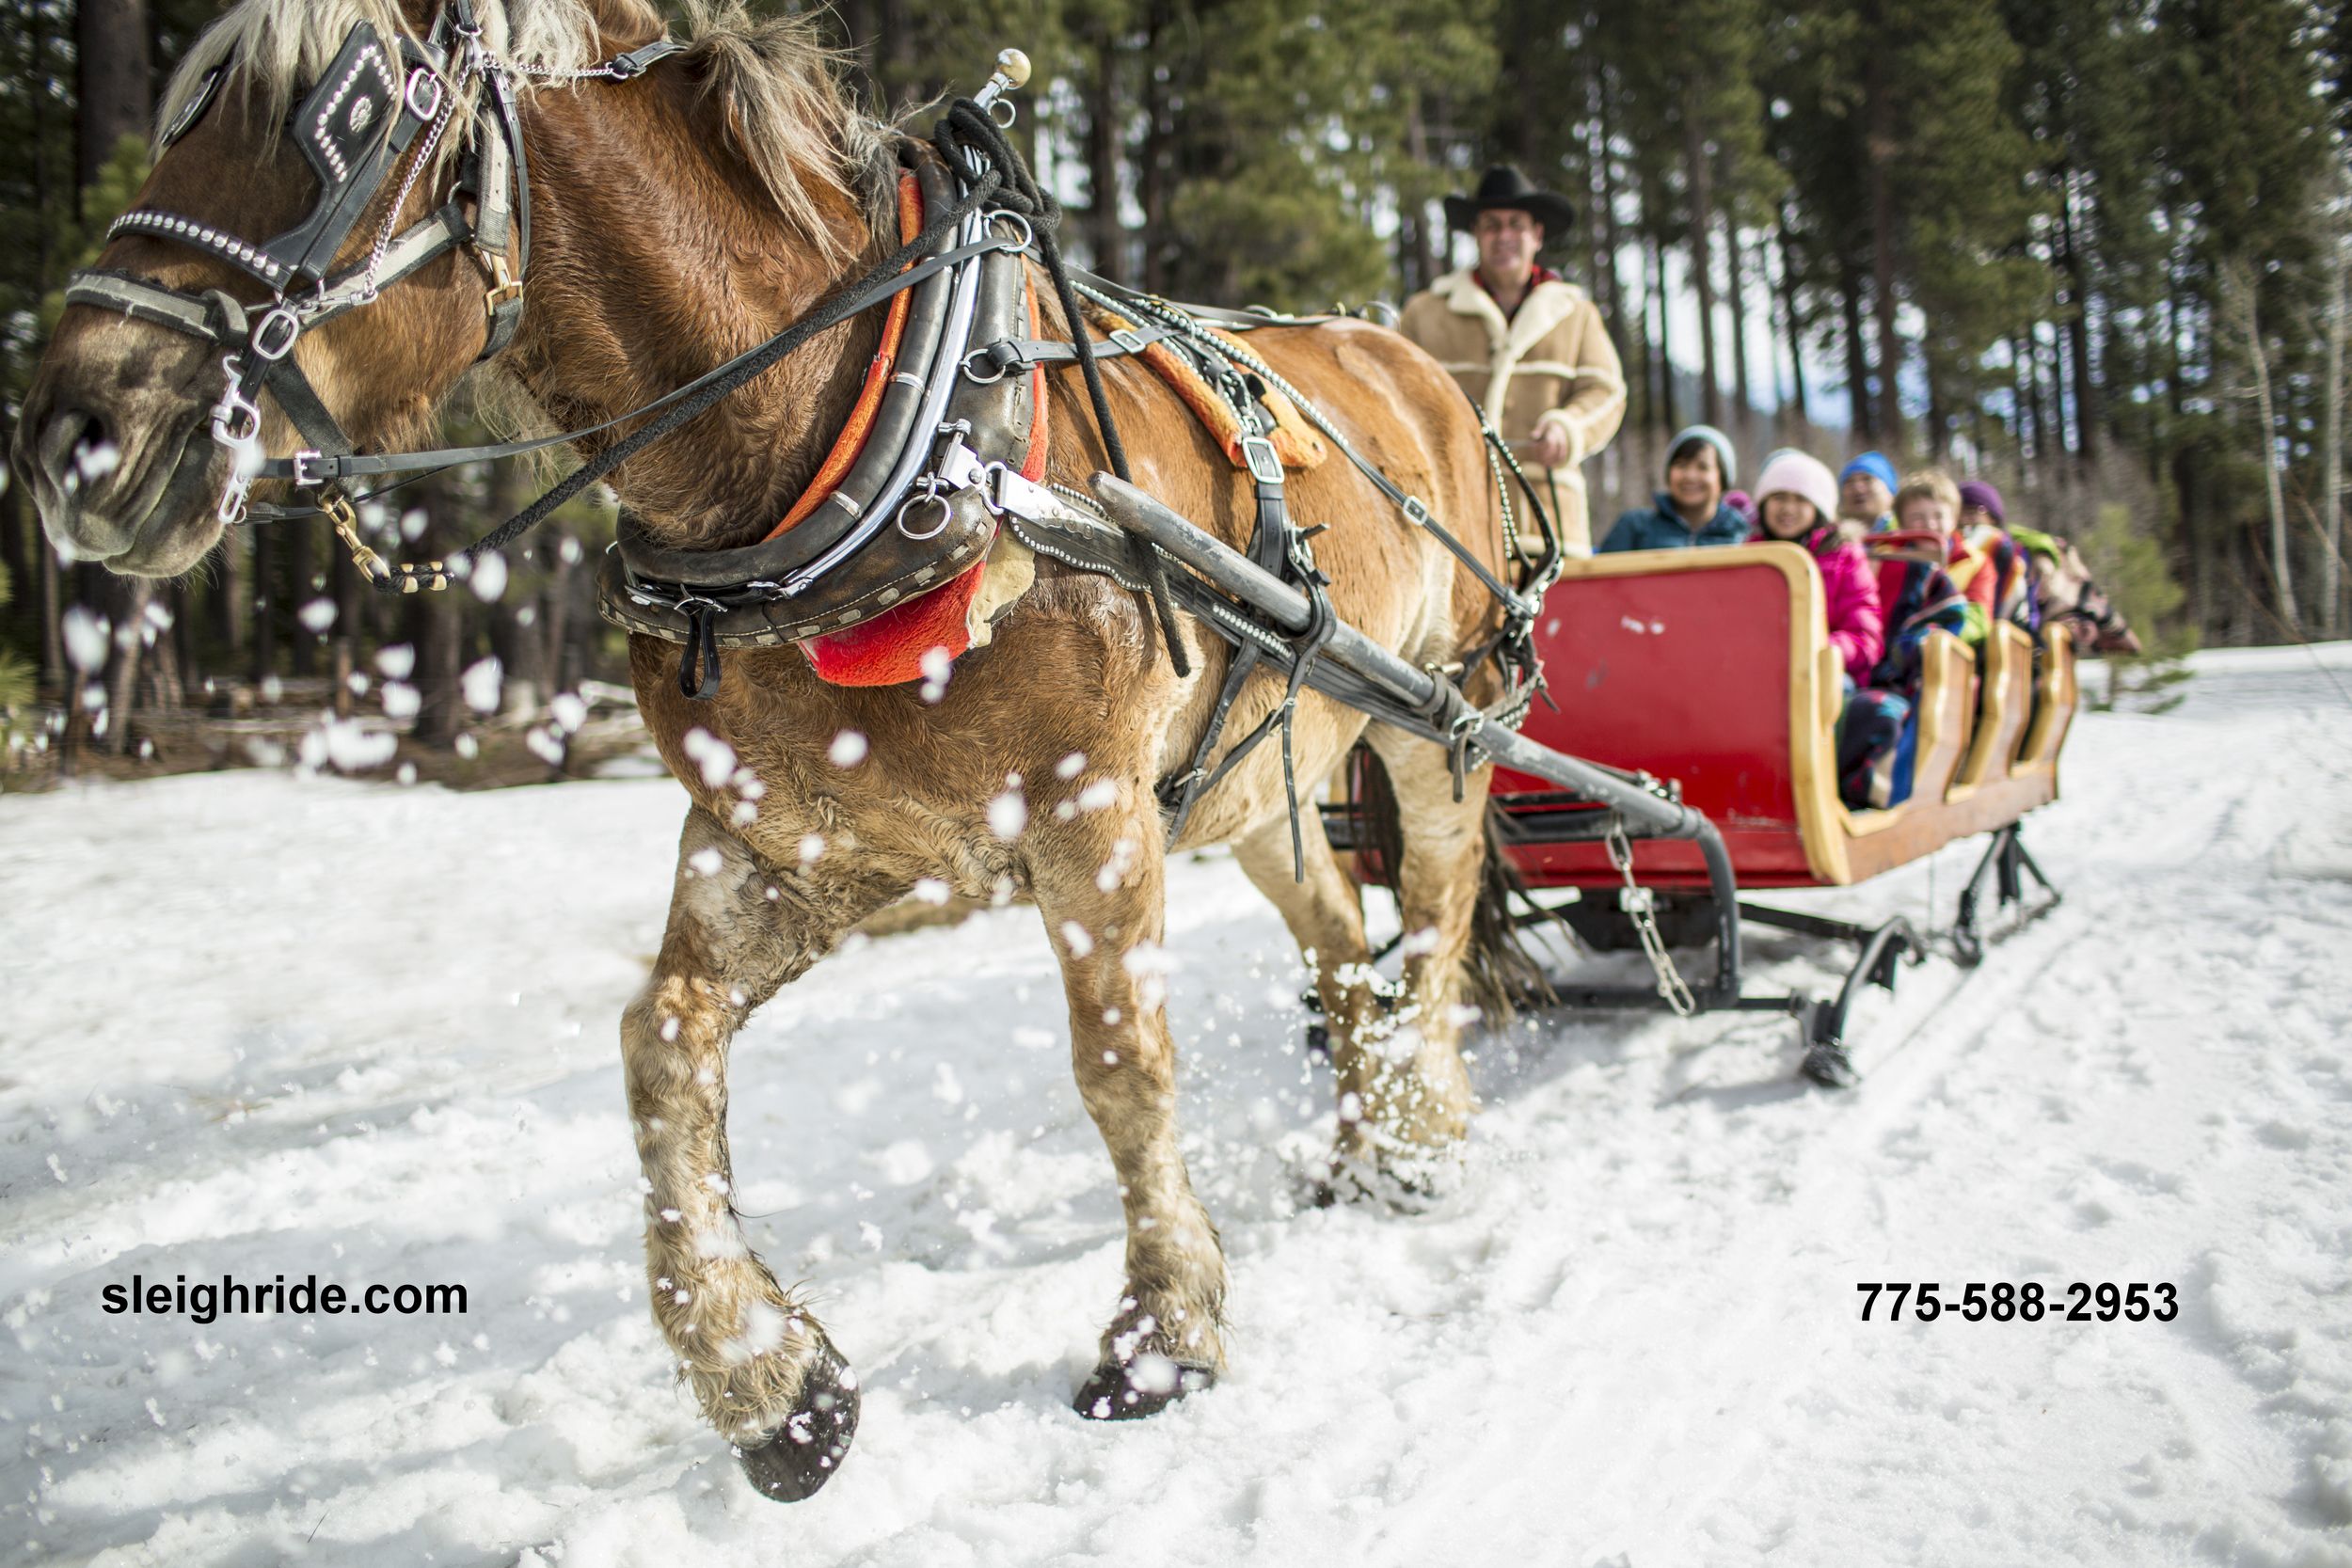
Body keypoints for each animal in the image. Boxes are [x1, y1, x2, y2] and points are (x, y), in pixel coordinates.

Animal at [16, 0, 1526, 1501]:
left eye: (348, 110)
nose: (73, 437)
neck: (845, 438)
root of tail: (1420, 368)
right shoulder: (788, 838)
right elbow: (662, 1044)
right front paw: (770, 1380)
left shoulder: (1093, 813)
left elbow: (1120, 1065)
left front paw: (1164, 1334)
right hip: (1255, 777)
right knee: (1337, 938)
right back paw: (1367, 1141)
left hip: (1443, 708)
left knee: (1435, 912)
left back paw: (1428, 1124)